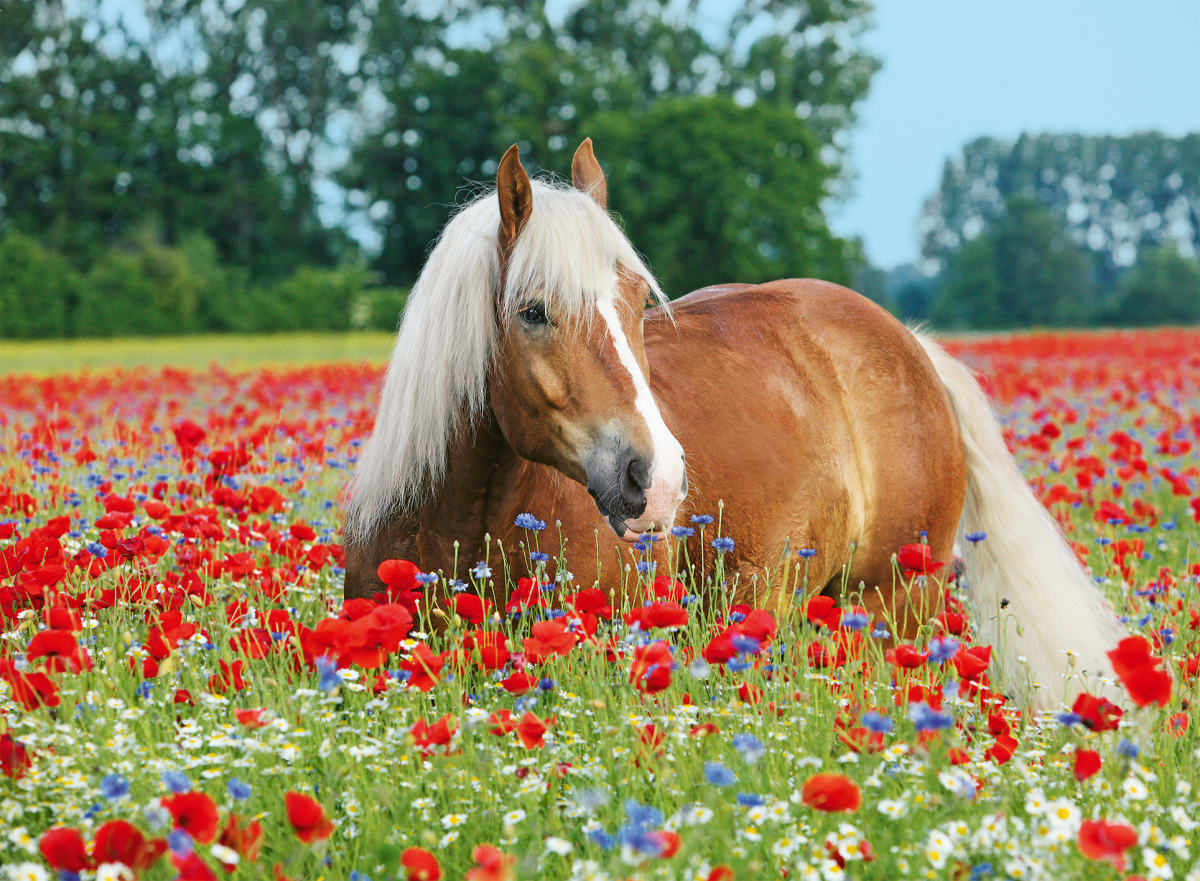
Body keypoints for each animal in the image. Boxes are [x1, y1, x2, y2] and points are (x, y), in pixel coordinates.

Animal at [343, 138, 1126, 707]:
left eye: (637, 301)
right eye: (532, 311)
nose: (655, 479)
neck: (464, 519)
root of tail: (908, 342)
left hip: (895, 608)